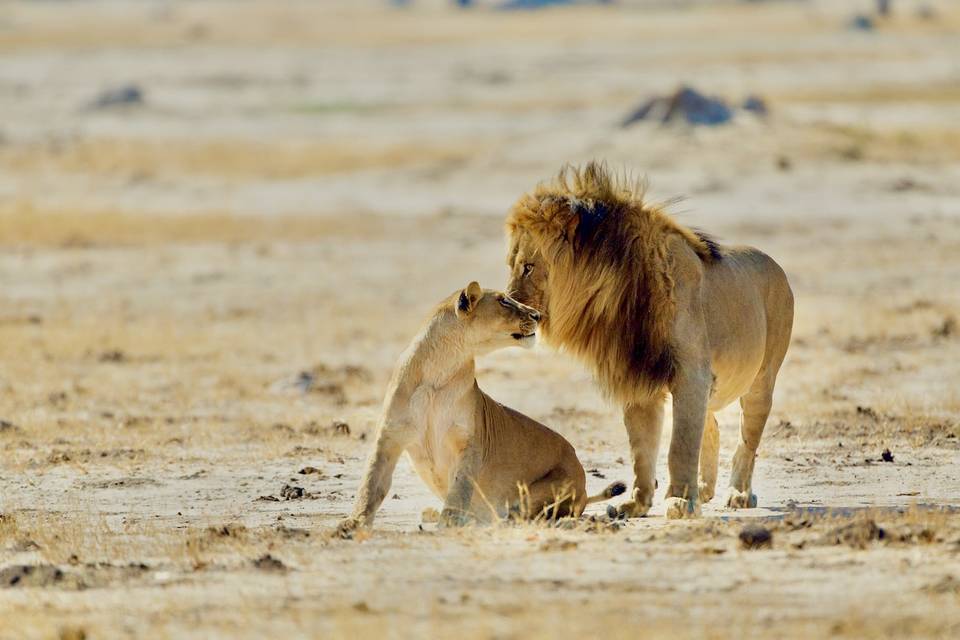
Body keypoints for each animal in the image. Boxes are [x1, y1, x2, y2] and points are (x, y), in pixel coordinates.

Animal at [338, 282, 624, 532]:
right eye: (503, 301)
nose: (538, 314)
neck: (439, 369)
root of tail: (584, 486)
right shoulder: (389, 436)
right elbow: (371, 484)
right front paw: (353, 522)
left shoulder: (471, 443)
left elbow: (460, 487)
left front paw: (449, 522)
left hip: (545, 489)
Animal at [506, 162, 792, 516]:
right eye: (512, 265)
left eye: (528, 267)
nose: (508, 303)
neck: (620, 291)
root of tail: (775, 264)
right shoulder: (636, 376)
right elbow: (641, 447)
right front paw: (637, 503)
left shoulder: (691, 374)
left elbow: (680, 444)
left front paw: (681, 500)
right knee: (710, 425)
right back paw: (704, 489)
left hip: (762, 380)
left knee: (747, 441)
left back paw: (738, 493)